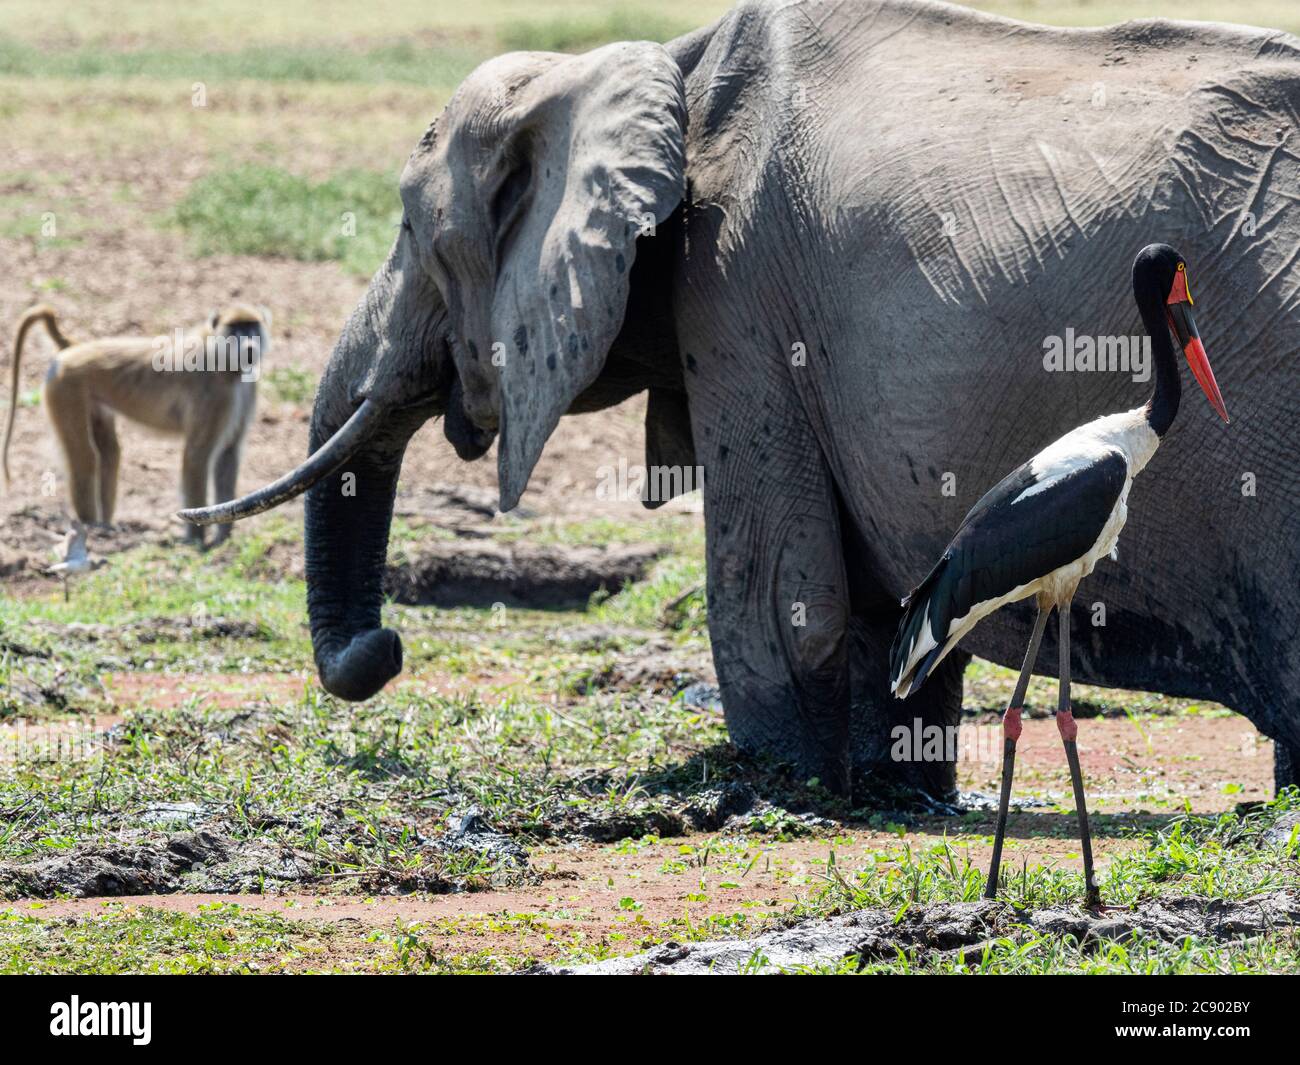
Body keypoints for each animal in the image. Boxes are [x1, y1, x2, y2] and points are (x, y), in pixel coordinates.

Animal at [3, 303, 272, 548]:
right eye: (235, 328)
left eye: (252, 326)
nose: (250, 347)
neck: (223, 360)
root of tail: (73, 348)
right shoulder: (214, 395)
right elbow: (197, 455)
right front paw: (195, 539)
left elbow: (228, 454)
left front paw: (223, 538)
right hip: (65, 387)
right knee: (85, 456)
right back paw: (92, 526)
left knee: (109, 453)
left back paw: (106, 526)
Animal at [197, 0, 1300, 800]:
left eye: (413, 233)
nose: (380, 651)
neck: (651, 72)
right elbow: (874, 607)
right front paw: (896, 796)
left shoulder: (737, 292)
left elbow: (778, 596)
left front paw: (779, 785)